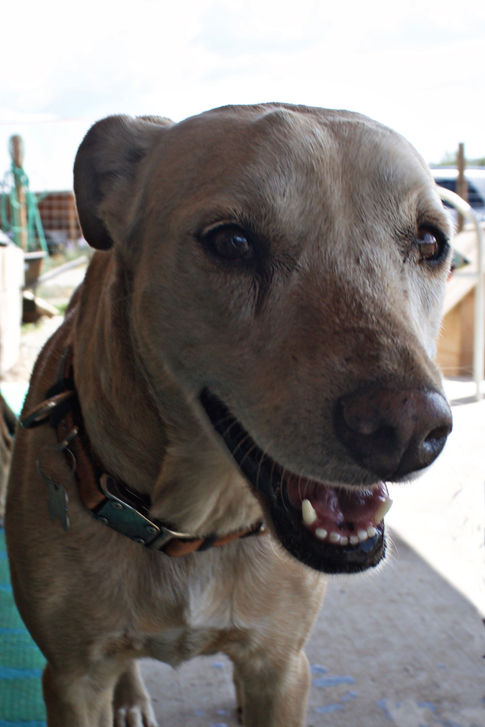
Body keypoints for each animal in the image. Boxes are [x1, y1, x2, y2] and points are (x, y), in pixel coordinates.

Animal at [5, 103, 453, 726]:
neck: (190, 529)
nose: (408, 431)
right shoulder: (70, 680)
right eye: (233, 242)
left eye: (432, 242)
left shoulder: (284, 667)